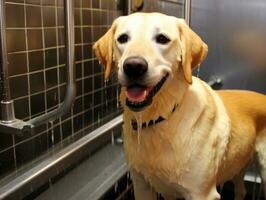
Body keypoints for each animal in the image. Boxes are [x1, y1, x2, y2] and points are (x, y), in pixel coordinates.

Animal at [93, 12, 266, 200]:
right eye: (123, 38)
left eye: (162, 39)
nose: (133, 66)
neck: (160, 118)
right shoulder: (141, 185)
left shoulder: (202, 194)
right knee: (241, 190)